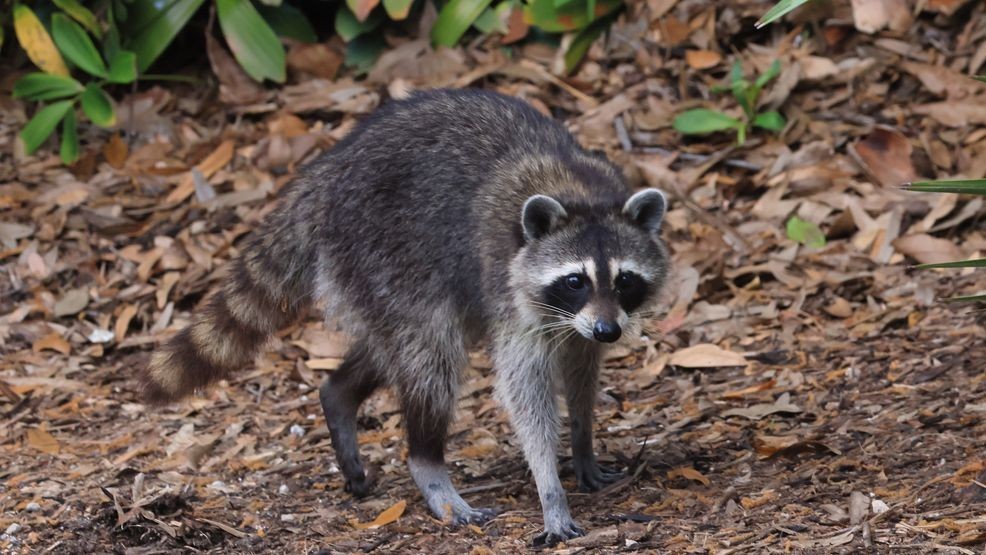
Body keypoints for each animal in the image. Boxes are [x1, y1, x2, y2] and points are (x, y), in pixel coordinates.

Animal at [143, 88, 670, 545]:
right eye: (576, 280)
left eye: (624, 279)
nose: (609, 331)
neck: (577, 191)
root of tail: (323, 177)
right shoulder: (512, 287)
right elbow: (525, 389)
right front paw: (549, 488)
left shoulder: (580, 319)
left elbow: (581, 367)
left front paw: (582, 441)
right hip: (384, 252)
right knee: (430, 356)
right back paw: (427, 462)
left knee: (393, 347)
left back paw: (339, 395)